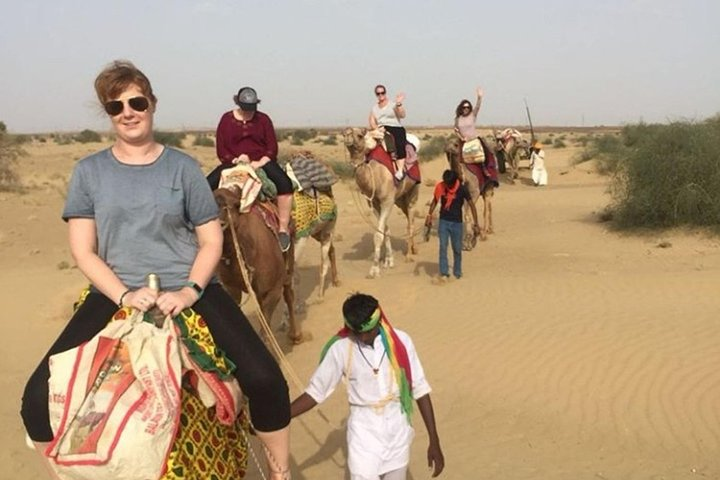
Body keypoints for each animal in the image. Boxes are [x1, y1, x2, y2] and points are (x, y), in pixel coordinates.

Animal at [215, 186, 302, 344]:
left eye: (235, 205)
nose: (219, 223)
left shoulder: (272, 290)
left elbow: (265, 333)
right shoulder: (232, 289)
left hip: (289, 259)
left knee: (288, 293)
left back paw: (295, 335)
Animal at [344, 127, 422, 278]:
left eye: (360, 135)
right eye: (345, 133)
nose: (347, 135)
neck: (374, 174)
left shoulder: (387, 201)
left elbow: (378, 235)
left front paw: (374, 269)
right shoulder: (375, 203)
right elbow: (385, 230)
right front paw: (388, 261)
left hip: (413, 192)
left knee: (410, 221)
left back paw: (409, 255)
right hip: (400, 200)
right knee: (409, 217)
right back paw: (415, 249)